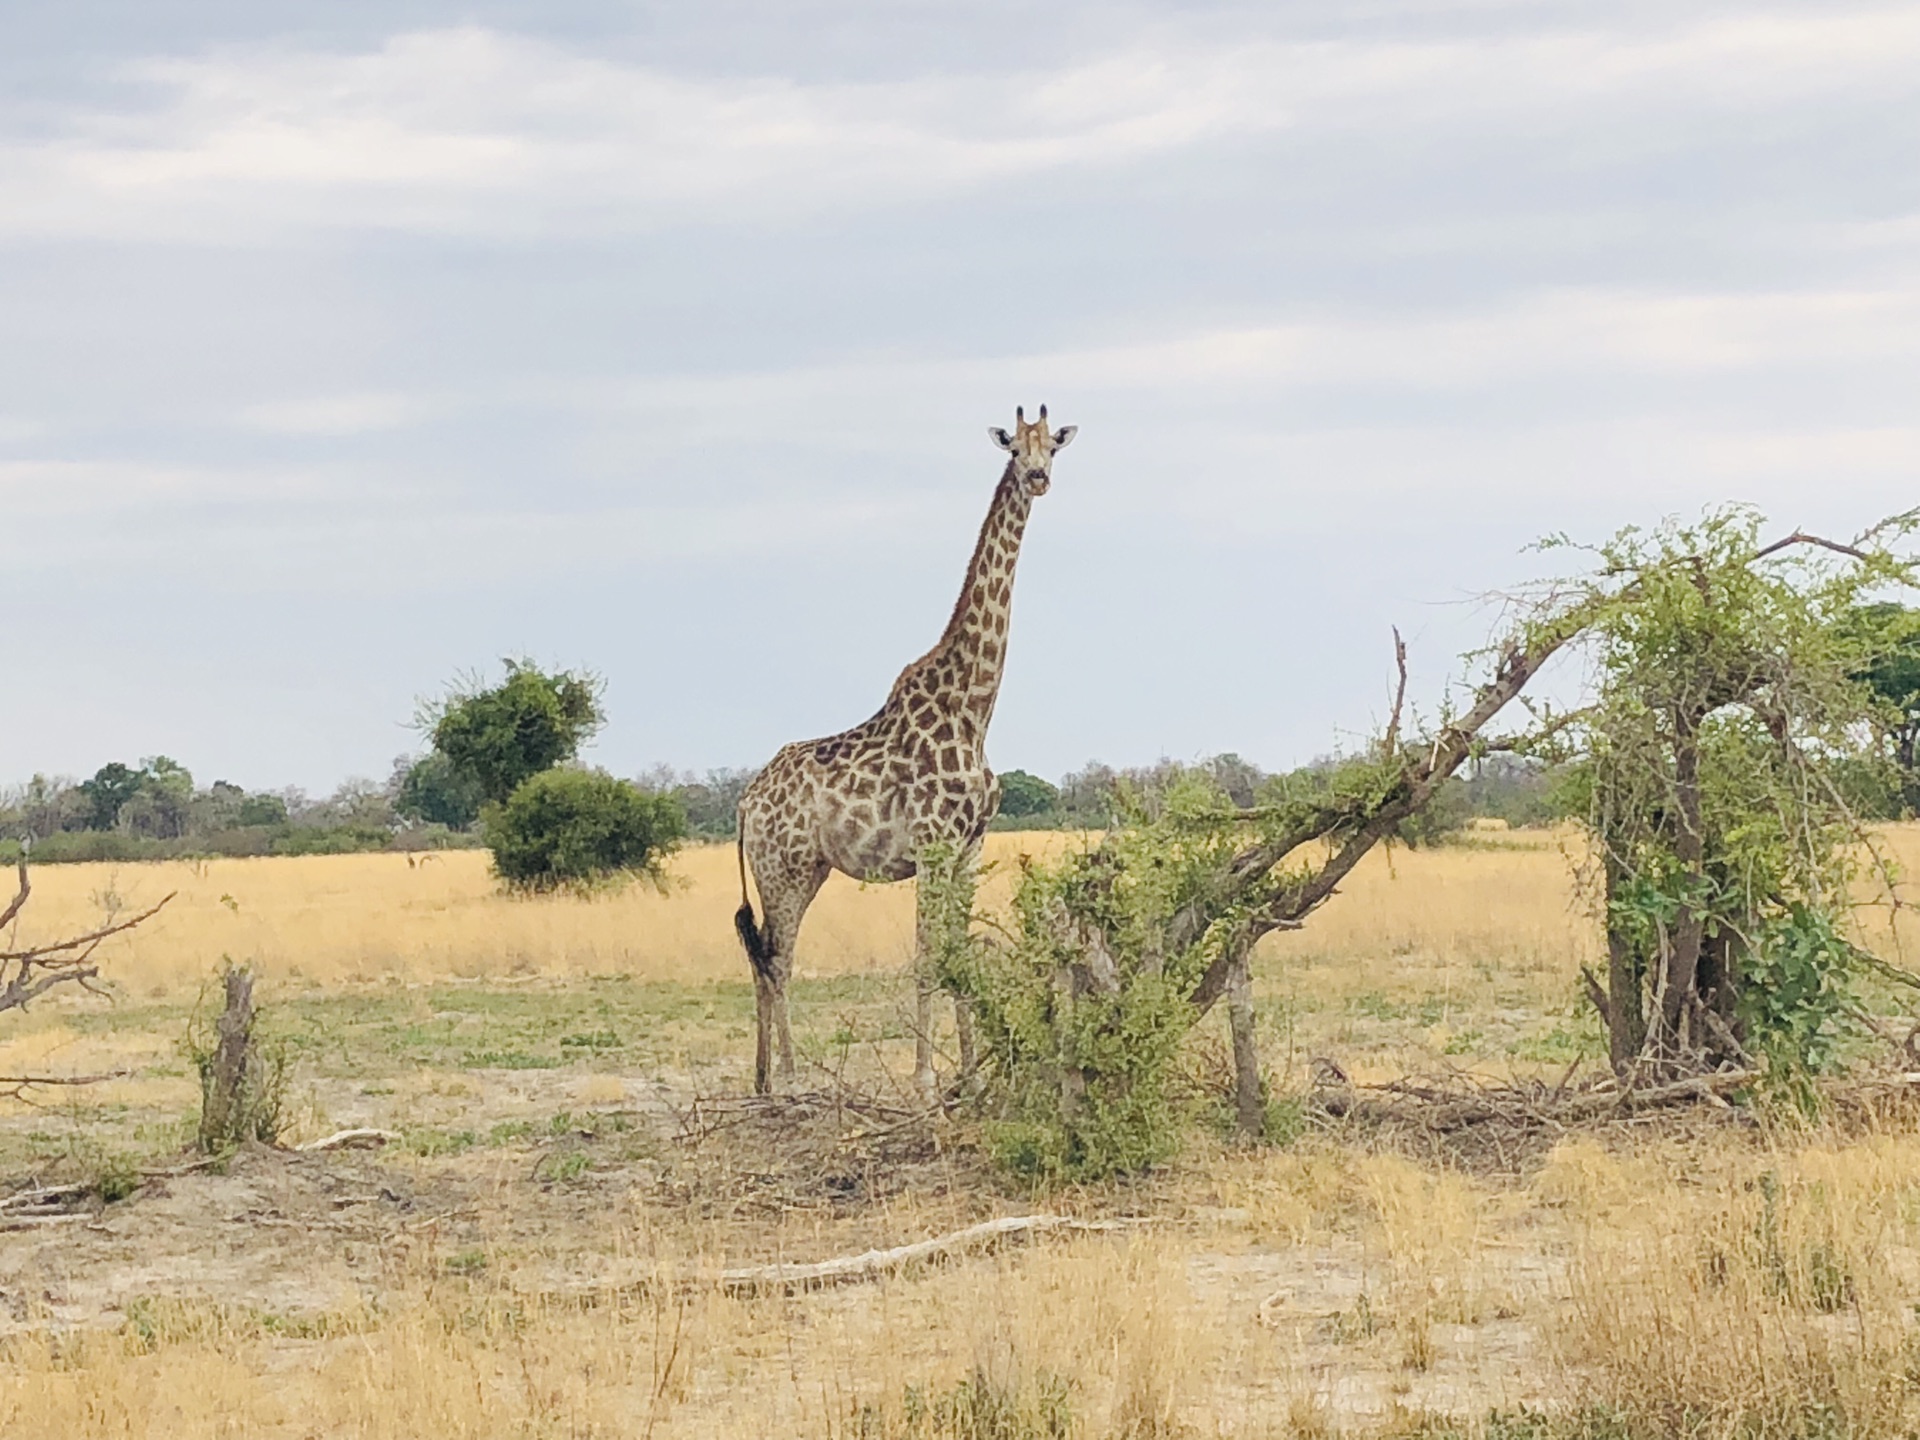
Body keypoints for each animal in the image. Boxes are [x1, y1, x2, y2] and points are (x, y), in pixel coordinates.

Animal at [733, 403, 1075, 1090]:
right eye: (1013, 449)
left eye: (1053, 446)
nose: (1038, 478)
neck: (975, 709)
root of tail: (745, 803)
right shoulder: (932, 845)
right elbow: (925, 960)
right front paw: (924, 1081)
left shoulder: (969, 849)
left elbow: (959, 955)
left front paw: (971, 1075)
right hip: (783, 867)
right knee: (777, 959)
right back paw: (792, 1078)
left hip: (801, 868)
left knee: (764, 956)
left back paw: (763, 1081)